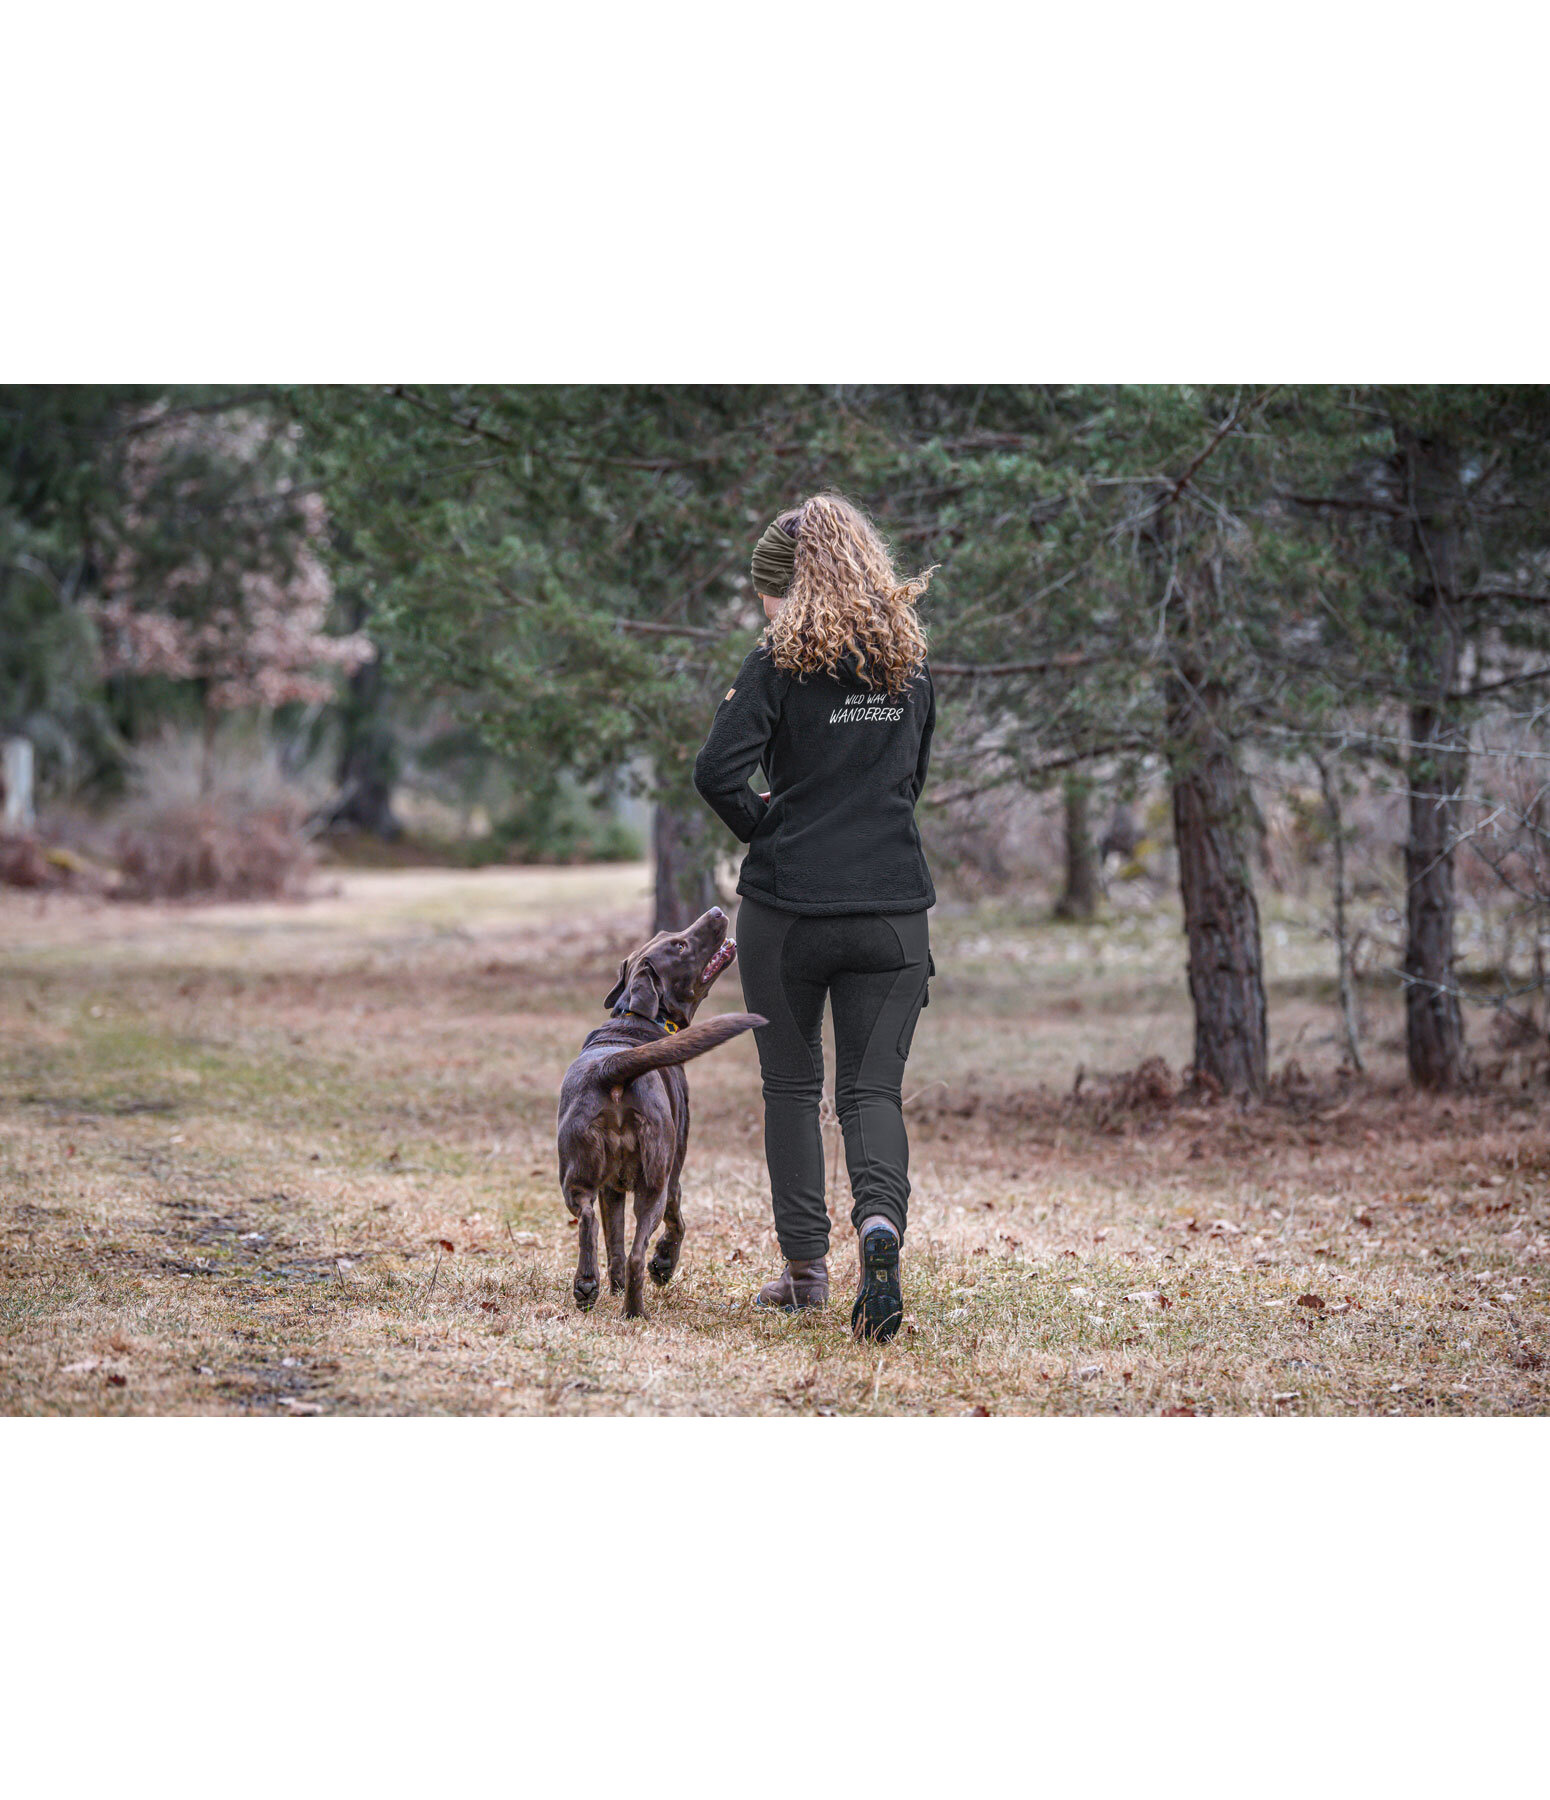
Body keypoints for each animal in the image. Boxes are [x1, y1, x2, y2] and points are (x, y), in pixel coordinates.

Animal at [558, 907, 763, 1317]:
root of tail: (611, 1068)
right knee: (639, 1250)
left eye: (671, 935)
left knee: (589, 1221)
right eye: (680, 946)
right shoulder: (675, 1171)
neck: (635, 1021)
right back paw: (636, 1311)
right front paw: (664, 1264)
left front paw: (613, 1285)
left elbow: (614, 1240)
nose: (717, 911)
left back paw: (588, 1285)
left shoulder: (611, 1189)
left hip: (577, 1173)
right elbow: (677, 1221)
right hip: (655, 1179)